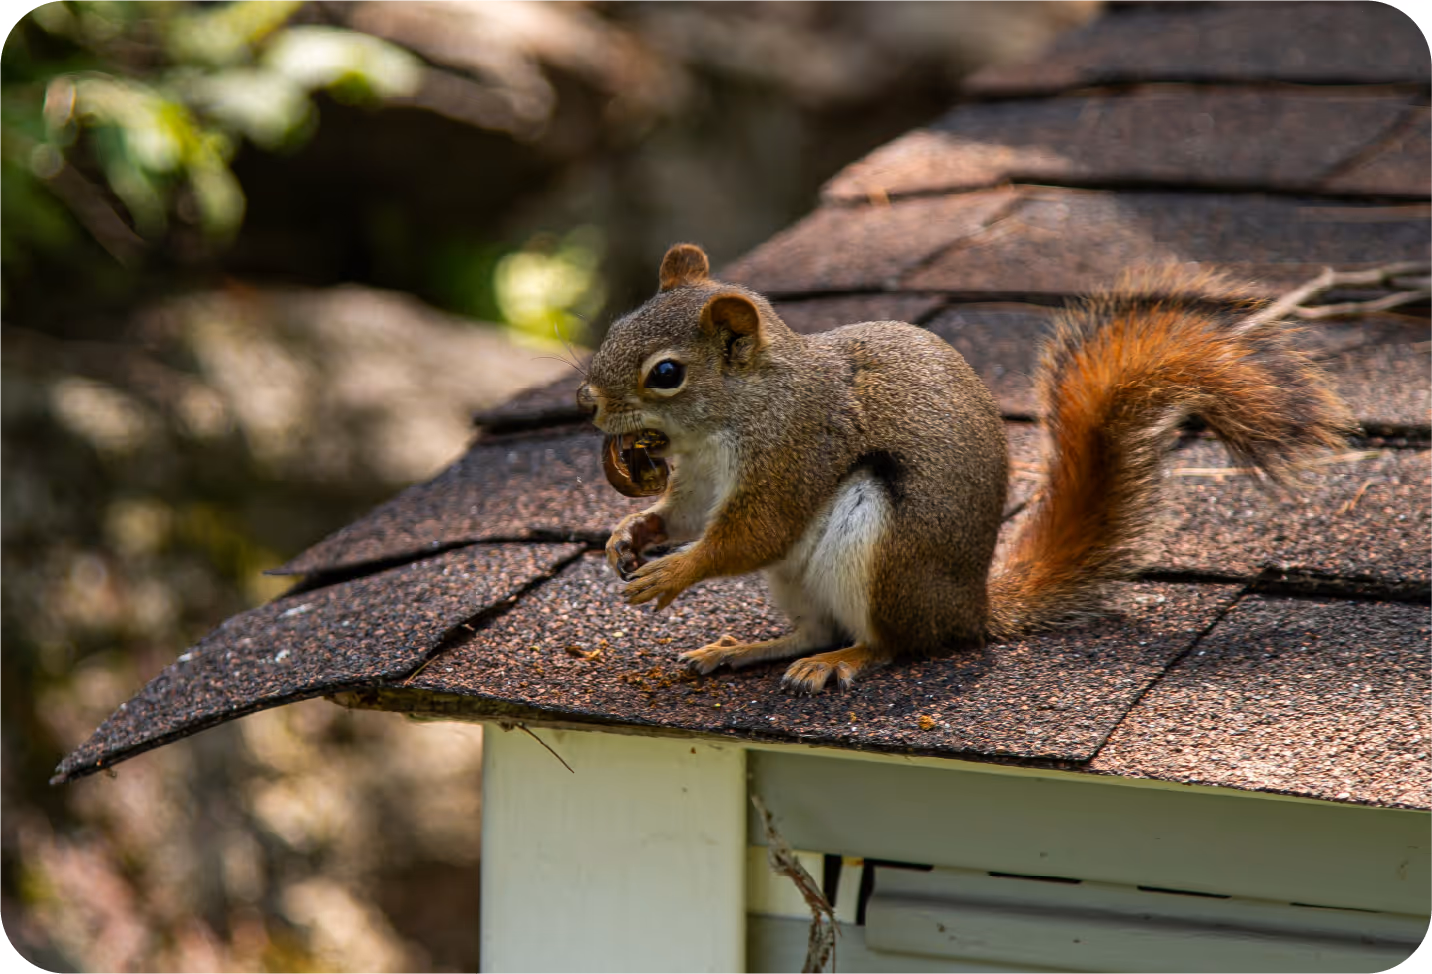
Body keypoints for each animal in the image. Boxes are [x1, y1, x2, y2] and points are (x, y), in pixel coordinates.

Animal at [576, 243, 1355, 694]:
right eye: (614, 327)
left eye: (667, 373)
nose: (589, 403)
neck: (722, 424)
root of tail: (971, 609)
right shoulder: (699, 479)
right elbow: (684, 516)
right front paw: (630, 535)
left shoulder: (797, 448)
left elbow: (750, 534)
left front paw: (671, 574)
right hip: (800, 582)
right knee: (815, 628)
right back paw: (745, 648)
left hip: (881, 547)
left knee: (891, 643)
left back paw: (845, 661)